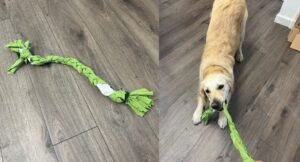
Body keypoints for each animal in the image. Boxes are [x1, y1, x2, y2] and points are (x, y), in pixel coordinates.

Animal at [192, 0, 248, 128]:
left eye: (221, 86)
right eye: (207, 91)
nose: (215, 105)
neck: (214, 66)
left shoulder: (230, 85)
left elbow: (226, 102)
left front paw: (223, 118)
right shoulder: (200, 80)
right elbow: (200, 97)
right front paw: (197, 113)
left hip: (243, 28)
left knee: (240, 43)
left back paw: (239, 54)